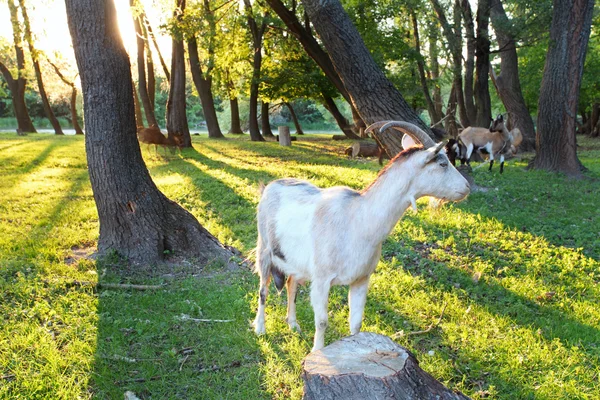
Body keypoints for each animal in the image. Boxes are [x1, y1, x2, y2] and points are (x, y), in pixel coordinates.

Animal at [251, 120, 472, 352]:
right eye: (443, 164)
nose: (466, 187)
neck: (358, 220)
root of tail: (269, 186)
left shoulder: (361, 279)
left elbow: (356, 323)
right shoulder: (321, 279)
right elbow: (322, 321)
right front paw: (317, 352)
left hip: (295, 261)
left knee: (291, 283)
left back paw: (293, 324)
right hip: (264, 249)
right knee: (263, 290)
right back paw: (260, 328)